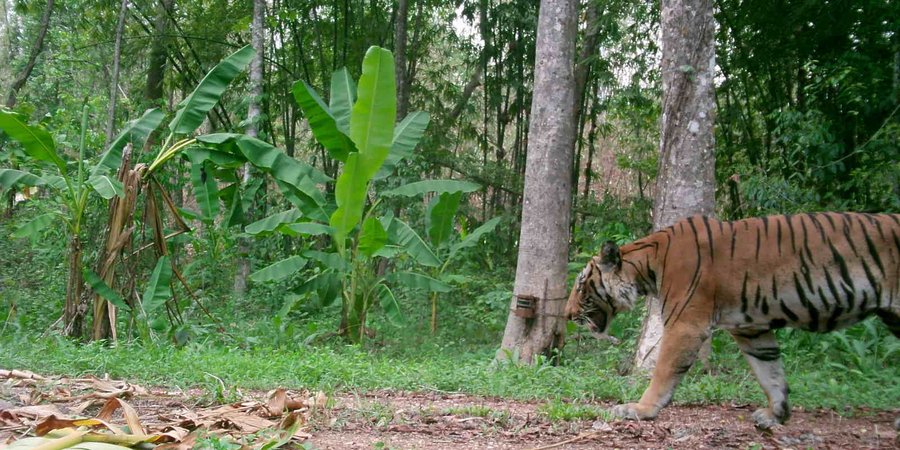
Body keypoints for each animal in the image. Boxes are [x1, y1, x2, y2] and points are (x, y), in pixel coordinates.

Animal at [565, 212, 900, 429]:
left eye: (581, 286)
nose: (567, 315)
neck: (648, 266)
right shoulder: (752, 330)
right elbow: (770, 373)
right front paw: (776, 415)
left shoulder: (686, 324)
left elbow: (663, 371)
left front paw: (640, 408)